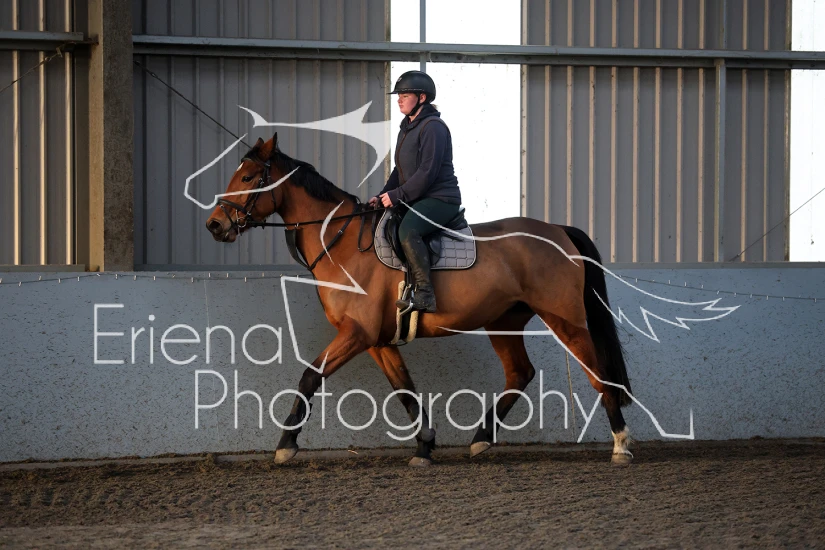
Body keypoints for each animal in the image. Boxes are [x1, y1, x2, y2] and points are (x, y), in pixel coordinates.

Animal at [206, 133, 634, 467]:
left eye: (247, 177)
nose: (214, 224)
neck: (340, 243)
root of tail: (557, 230)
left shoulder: (357, 334)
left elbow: (311, 375)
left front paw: (285, 446)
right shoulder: (377, 341)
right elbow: (405, 390)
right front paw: (425, 446)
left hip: (564, 318)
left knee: (597, 373)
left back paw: (621, 445)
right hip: (503, 321)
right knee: (520, 373)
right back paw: (481, 438)